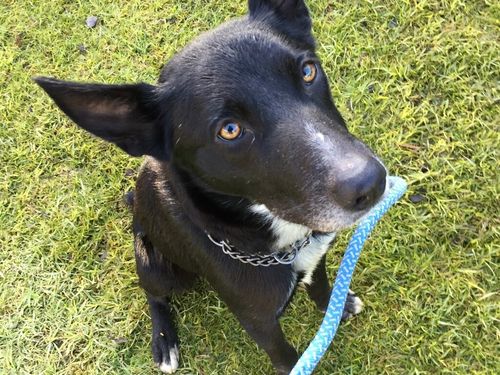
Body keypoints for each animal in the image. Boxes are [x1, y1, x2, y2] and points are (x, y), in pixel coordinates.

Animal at [36, 1, 386, 374]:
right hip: (159, 265)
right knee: (154, 294)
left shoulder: (316, 253)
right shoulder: (257, 320)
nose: (370, 182)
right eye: (229, 130)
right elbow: (284, 355)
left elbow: (319, 284)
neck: (279, 239)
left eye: (308, 71)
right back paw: (164, 340)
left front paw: (336, 305)